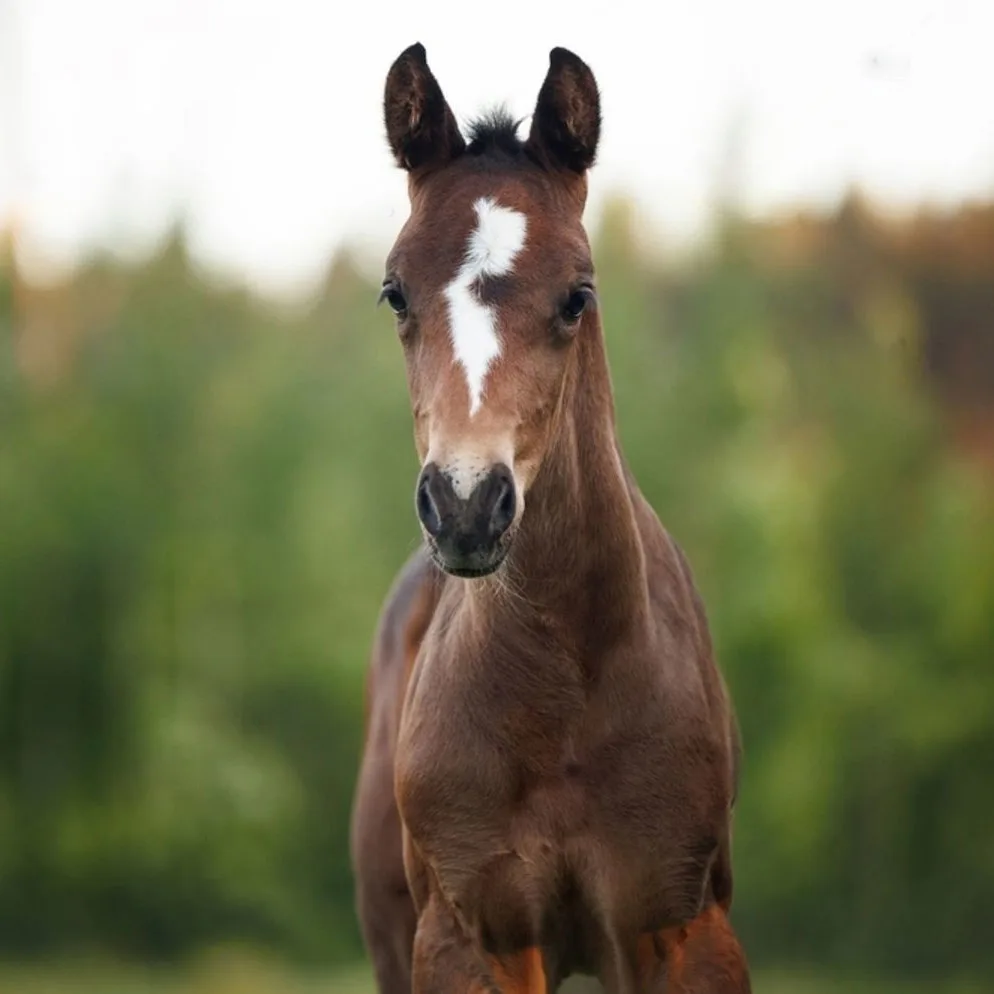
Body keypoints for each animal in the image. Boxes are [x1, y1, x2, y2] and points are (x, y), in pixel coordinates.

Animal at [350, 43, 751, 994]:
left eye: (577, 295)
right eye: (394, 293)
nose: (465, 504)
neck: (564, 692)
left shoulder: (684, 926)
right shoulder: (470, 937)